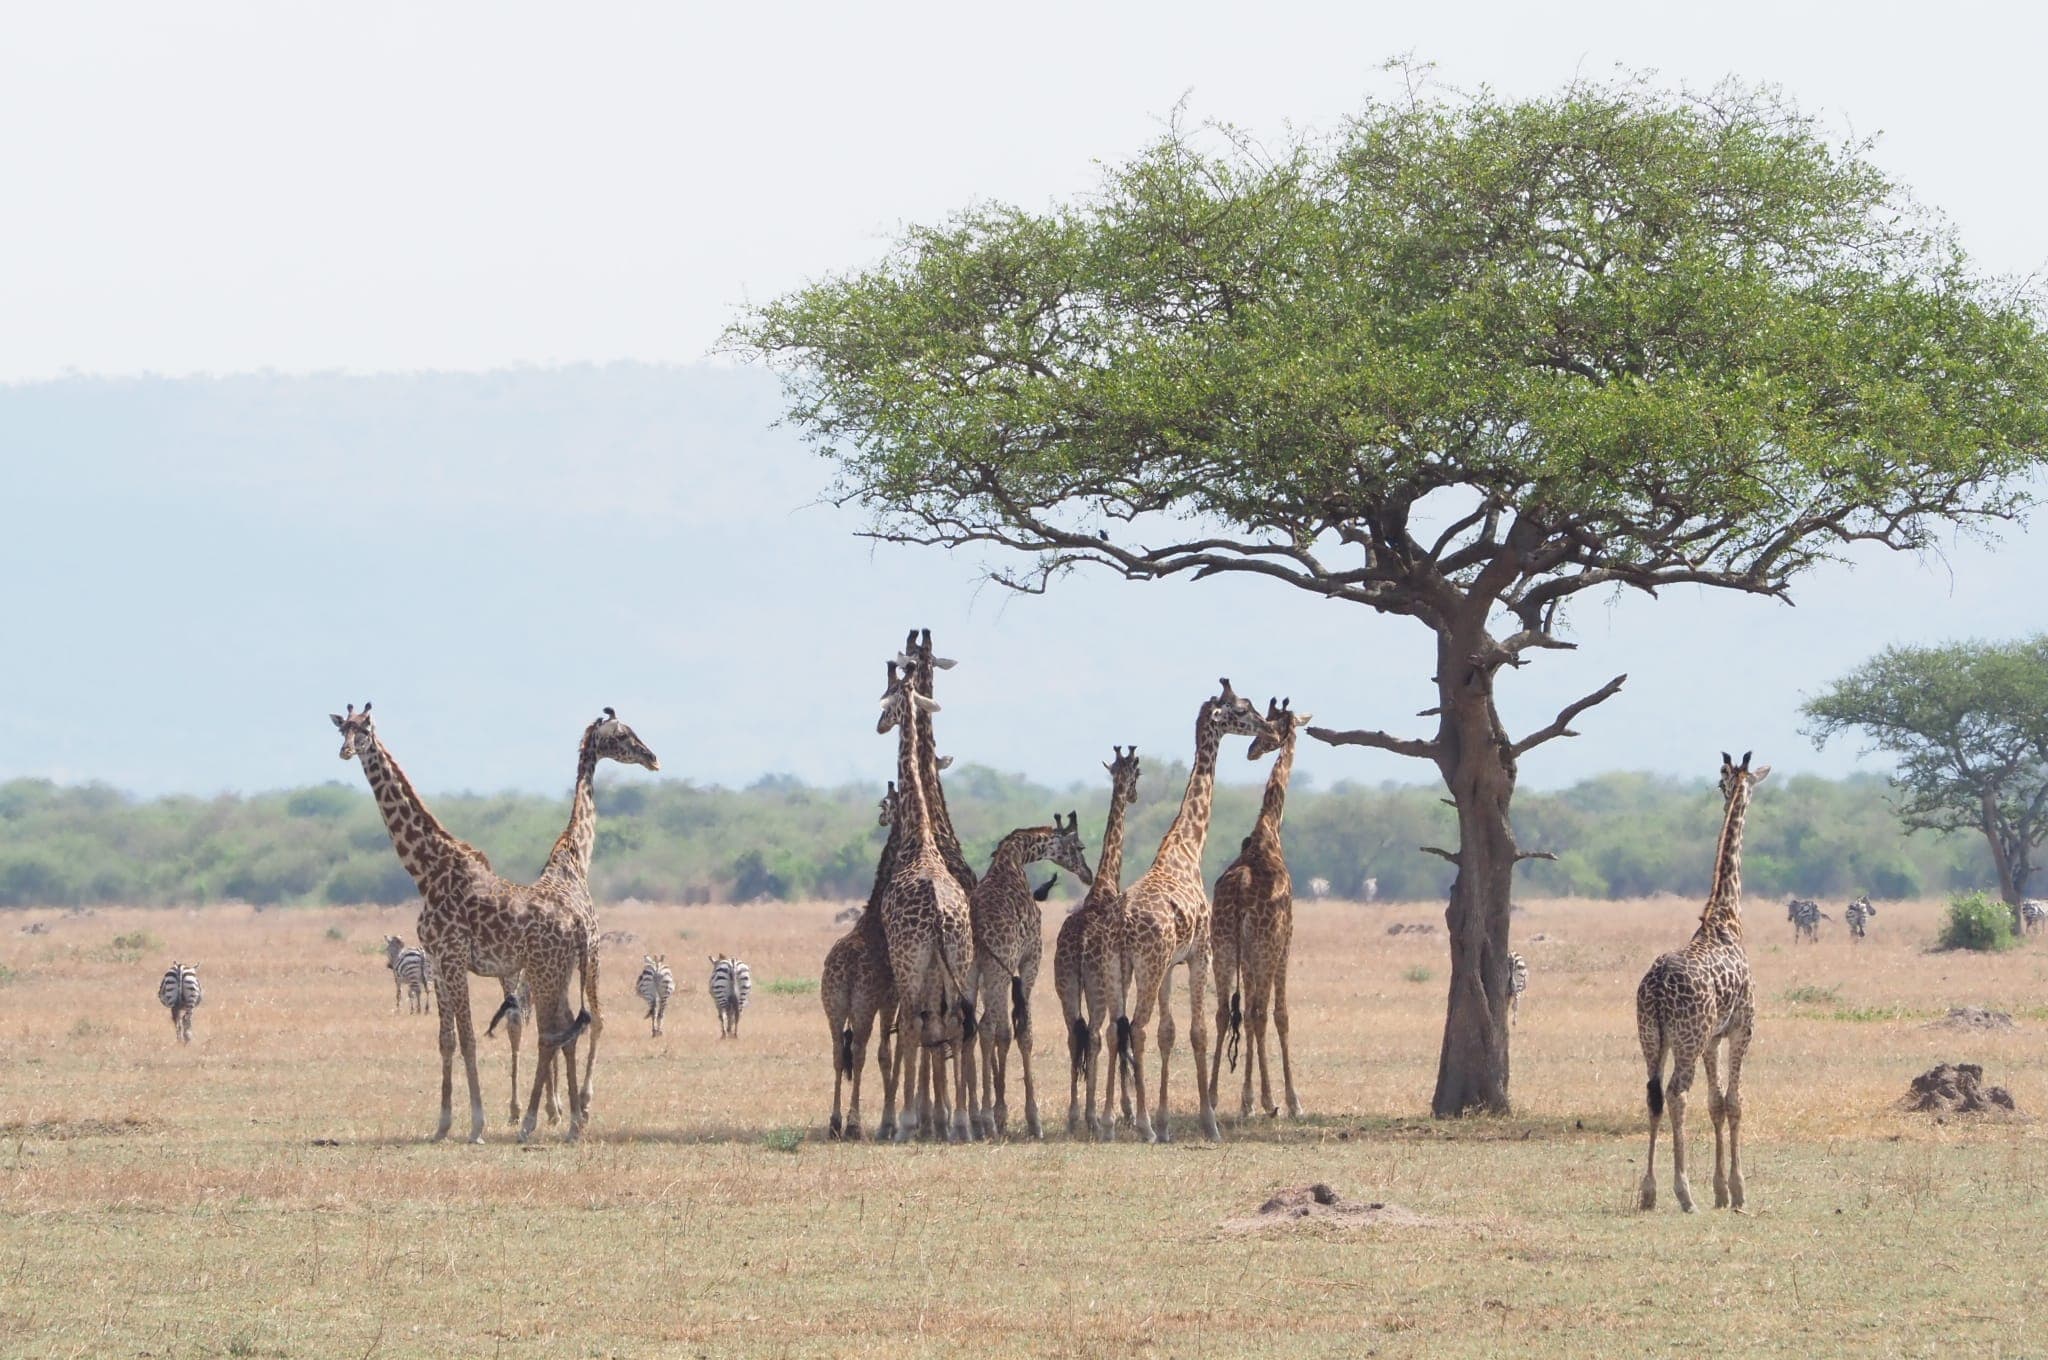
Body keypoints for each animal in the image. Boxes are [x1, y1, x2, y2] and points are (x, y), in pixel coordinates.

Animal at [332, 702, 604, 1144]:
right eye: (343, 729)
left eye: (367, 729)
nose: (346, 751)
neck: (428, 871)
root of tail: (576, 924)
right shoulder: (438, 962)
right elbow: (446, 1040)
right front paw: (442, 1124)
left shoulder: (456, 958)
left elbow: (470, 1038)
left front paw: (477, 1123)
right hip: (557, 972)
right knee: (566, 1028)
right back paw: (571, 1119)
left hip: (547, 971)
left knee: (558, 1030)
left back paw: (550, 1119)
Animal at [970, 810, 1095, 1138]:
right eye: (1079, 846)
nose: (1087, 875)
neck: (1013, 858)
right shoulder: (1030, 957)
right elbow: (1022, 1031)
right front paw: (1030, 1118)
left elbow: (1006, 1031)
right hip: (997, 968)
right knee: (989, 1026)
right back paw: (987, 1118)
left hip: (970, 970)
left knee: (973, 1026)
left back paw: (972, 1117)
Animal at [1114, 679, 1275, 1144]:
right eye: (1242, 709)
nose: (1269, 729)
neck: (1186, 849)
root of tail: (1123, 923)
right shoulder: (1200, 953)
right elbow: (1198, 1031)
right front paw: (1208, 1121)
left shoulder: (1173, 964)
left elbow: (1170, 1033)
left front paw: (1169, 1121)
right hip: (1147, 965)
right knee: (1136, 1027)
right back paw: (1143, 1126)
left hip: (1121, 967)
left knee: (1117, 1028)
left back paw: (1127, 1119)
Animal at [1635, 750, 1770, 1213]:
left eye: (1722, 782)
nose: (1729, 791)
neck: (1725, 918)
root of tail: (1657, 987)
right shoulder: (1742, 1028)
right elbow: (1735, 1102)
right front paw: (1738, 1190)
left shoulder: (1714, 1038)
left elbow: (1716, 1103)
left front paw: (1721, 1189)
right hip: (1686, 1038)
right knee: (1677, 1093)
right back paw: (1682, 1192)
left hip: (1652, 1037)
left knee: (1653, 1095)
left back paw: (1648, 1191)